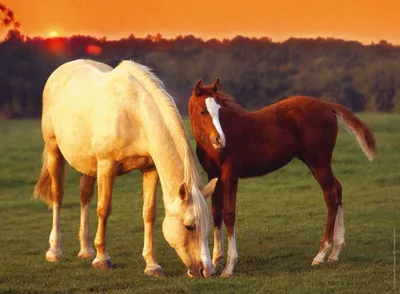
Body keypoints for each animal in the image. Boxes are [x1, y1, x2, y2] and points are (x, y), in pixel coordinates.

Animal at [32, 59, 217, 278]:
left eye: (208, 225)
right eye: (189, 226)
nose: (207, 270)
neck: (133, 113)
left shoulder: (149, 169)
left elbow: (149, 213)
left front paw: (152, 265)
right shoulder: (106, 165)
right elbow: (103, 209)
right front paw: (102, 260)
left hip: (89, 165)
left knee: (85, 196)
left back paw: (86, 250)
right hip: (54, 150)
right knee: (57, 196)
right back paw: (54, 251)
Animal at [189, 78, 376, 276]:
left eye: (219, 110)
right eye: (203, 111)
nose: (220, 140)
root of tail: (327, 105)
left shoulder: (230, 174)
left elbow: (229, 214)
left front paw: (229, 266)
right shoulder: (213, 176)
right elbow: (216, 214)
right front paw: (214, 264)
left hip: (319, 161)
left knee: (331, 196)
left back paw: (321, 255)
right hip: (313, 161)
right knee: (337, 189)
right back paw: (335, 252)